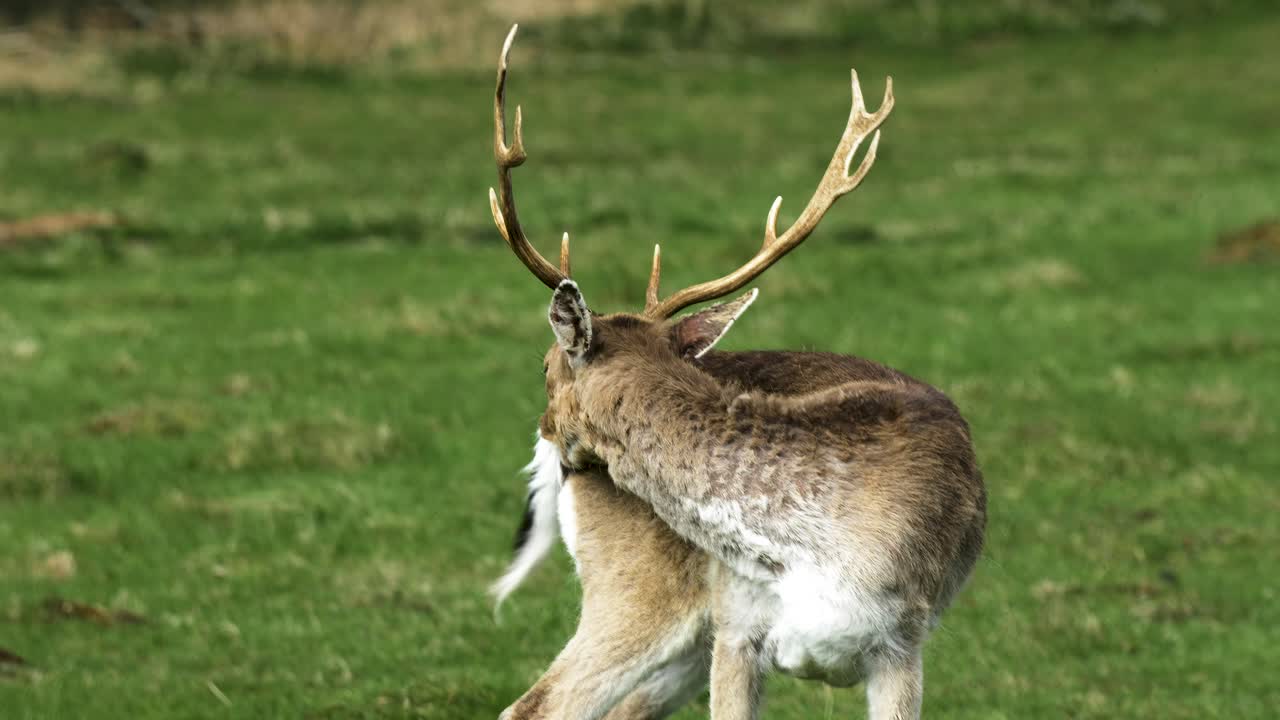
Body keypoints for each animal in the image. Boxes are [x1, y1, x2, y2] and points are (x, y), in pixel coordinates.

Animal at [487, 25, 986, 720]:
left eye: (545, 364)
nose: (544, 429)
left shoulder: (902, 639)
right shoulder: (737, 625)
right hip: (640, 594)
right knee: (538, 705)